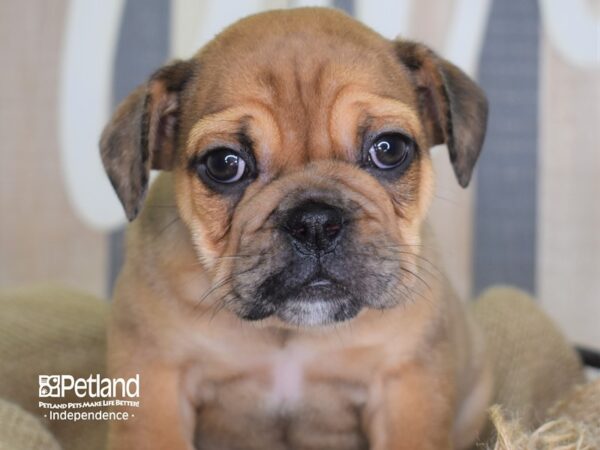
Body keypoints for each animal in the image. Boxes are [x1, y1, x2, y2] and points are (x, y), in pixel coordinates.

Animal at [99, 7, 492, 450]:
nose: (315, 221)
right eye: (223, 163)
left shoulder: (405, 385)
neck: (287, 333)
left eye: (389, 149)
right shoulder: (156, 379)